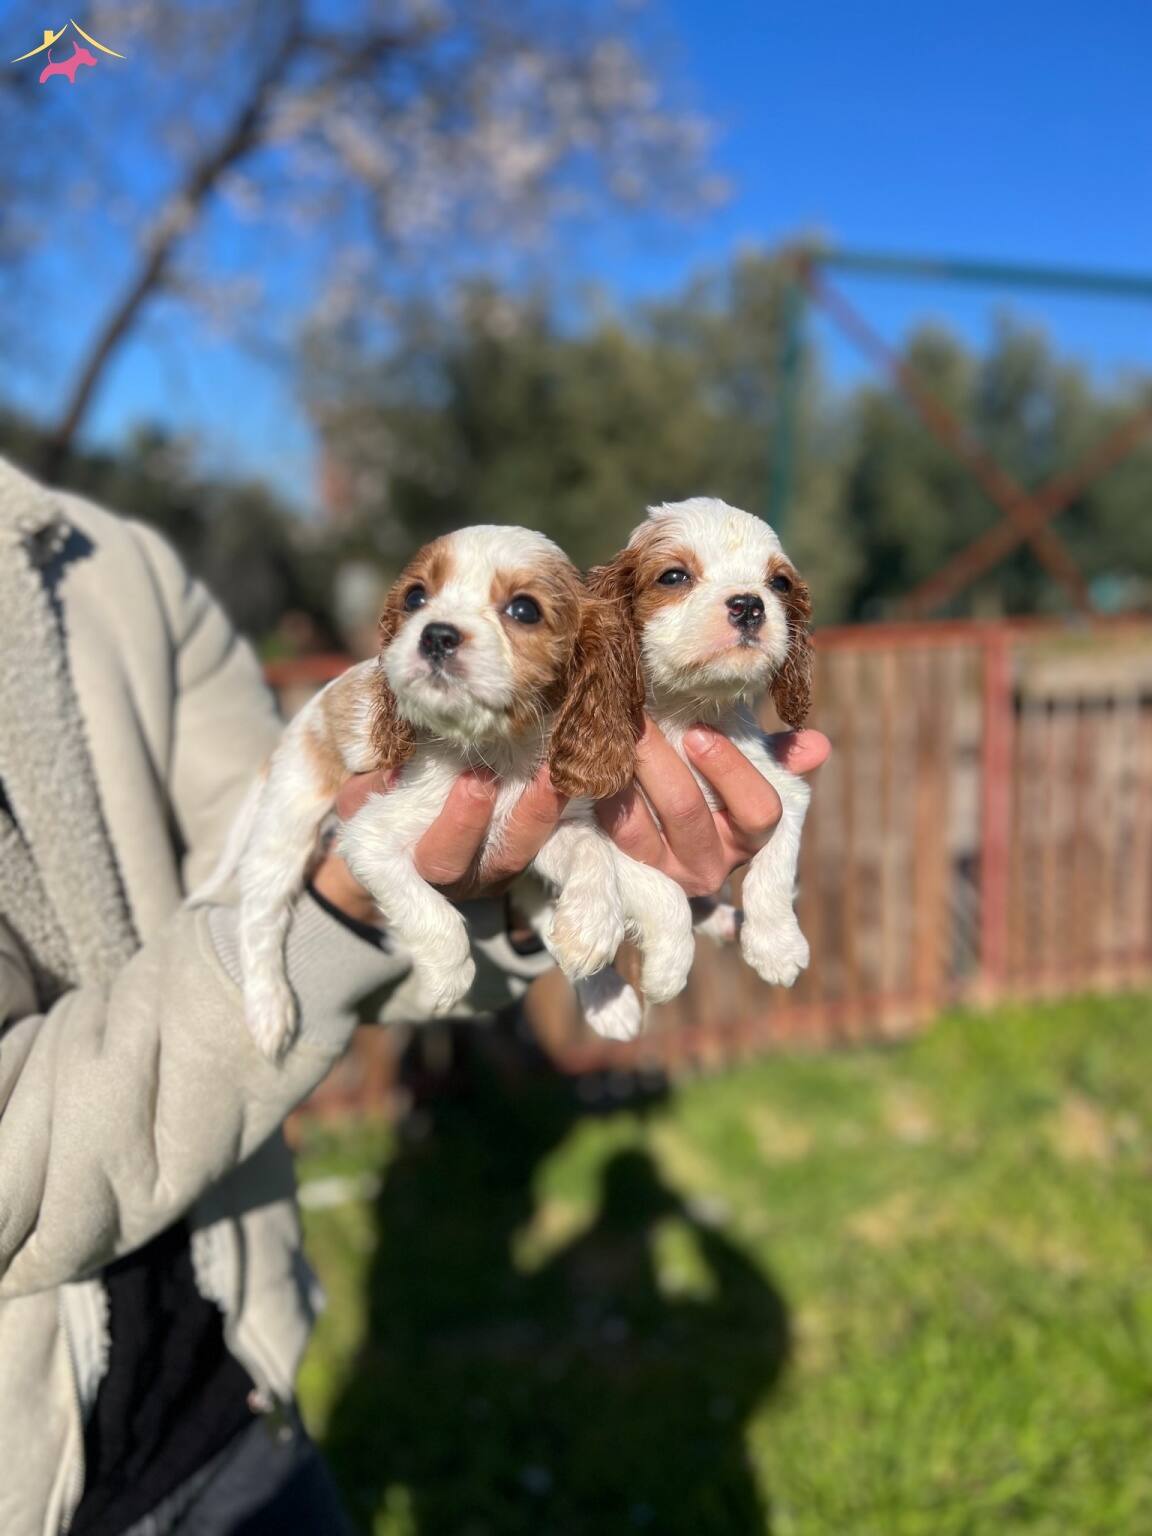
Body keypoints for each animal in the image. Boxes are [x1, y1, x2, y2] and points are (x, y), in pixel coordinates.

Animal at [200, 525, 691, 1060]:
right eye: (415, 597)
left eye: (524, 610)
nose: (435, 634)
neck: (499, 748)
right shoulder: (369, 838)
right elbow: (436, 918)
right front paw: (444, 981)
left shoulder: (540, 830)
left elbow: (593, 851)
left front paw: (589, 928)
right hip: (288, 822)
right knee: (260, 913)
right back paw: (268, 1009)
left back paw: (614, 994)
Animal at [589, 497, 813, 996]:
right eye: (674, 576)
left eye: (779, 583)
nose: (750, 604)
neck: (684, 711)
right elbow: (662, 890)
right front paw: (666, 970)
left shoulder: (784, 793)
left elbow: (772, 872)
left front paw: (777, 948)